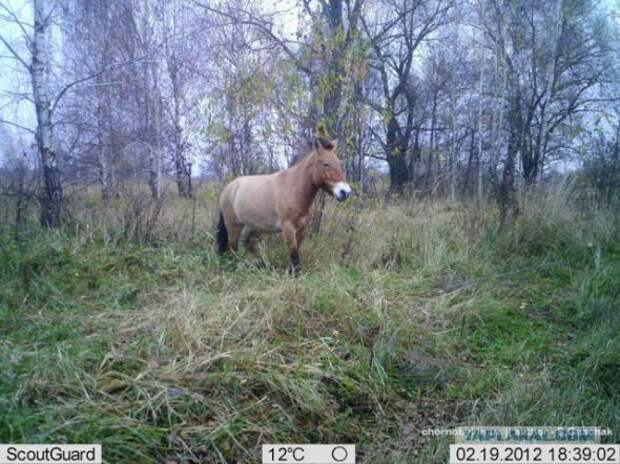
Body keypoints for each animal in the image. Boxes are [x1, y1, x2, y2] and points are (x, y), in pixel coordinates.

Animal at [216, 138, 352, 276]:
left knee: (248, 243)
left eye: (339, 163)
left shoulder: (302, 228)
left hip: (254, 227)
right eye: (326, 164)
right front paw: (295, 276)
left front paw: (290, 272)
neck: (294, 189)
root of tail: (228, 188)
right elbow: (294, 254)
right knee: (233, 248)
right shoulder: (288, 227)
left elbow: (296, 251)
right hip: (233, 225)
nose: (345, 192)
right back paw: (235, 268)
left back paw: (263, 264)